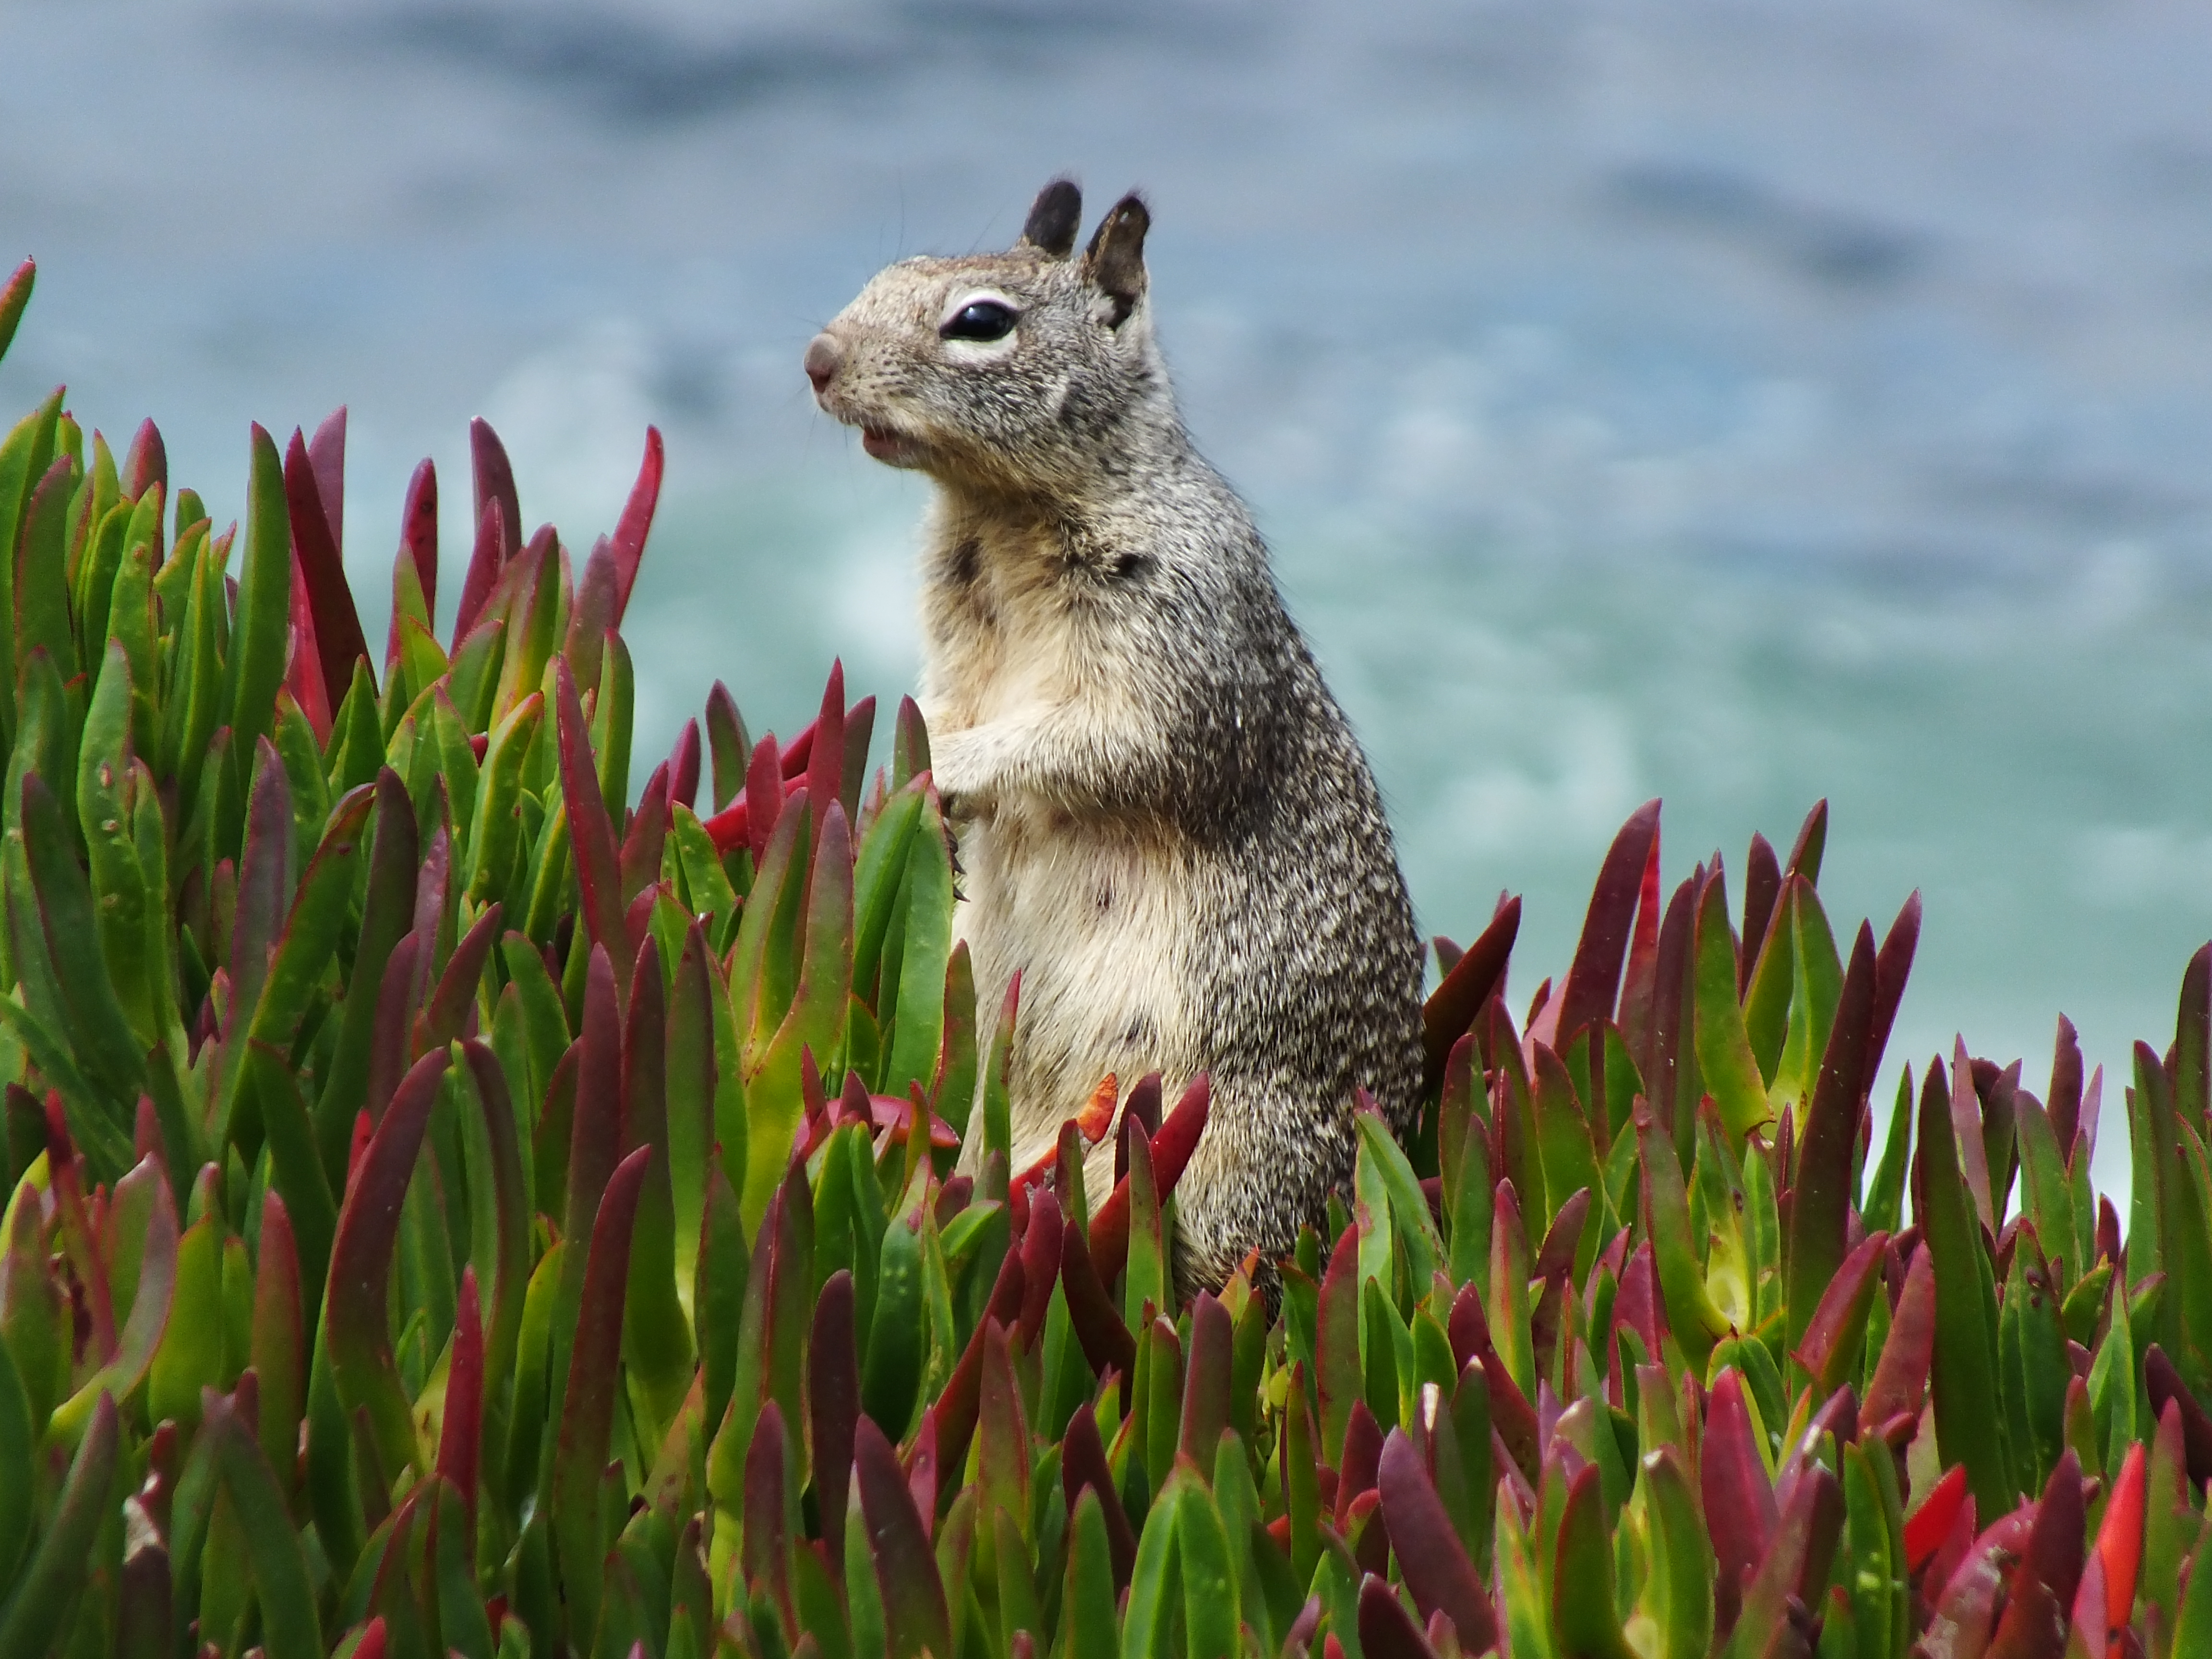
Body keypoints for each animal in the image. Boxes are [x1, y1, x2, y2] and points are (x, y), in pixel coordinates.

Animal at [805, 184, 1424, 1300]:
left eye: (980, 322)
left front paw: (946, 776)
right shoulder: (951, 663)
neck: (1001, 512)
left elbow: (1112, 745)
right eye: (887, 275)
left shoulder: (1180, 636)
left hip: (1230, 1158)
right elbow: (941, 710)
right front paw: (908, 800)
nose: (818, 359)